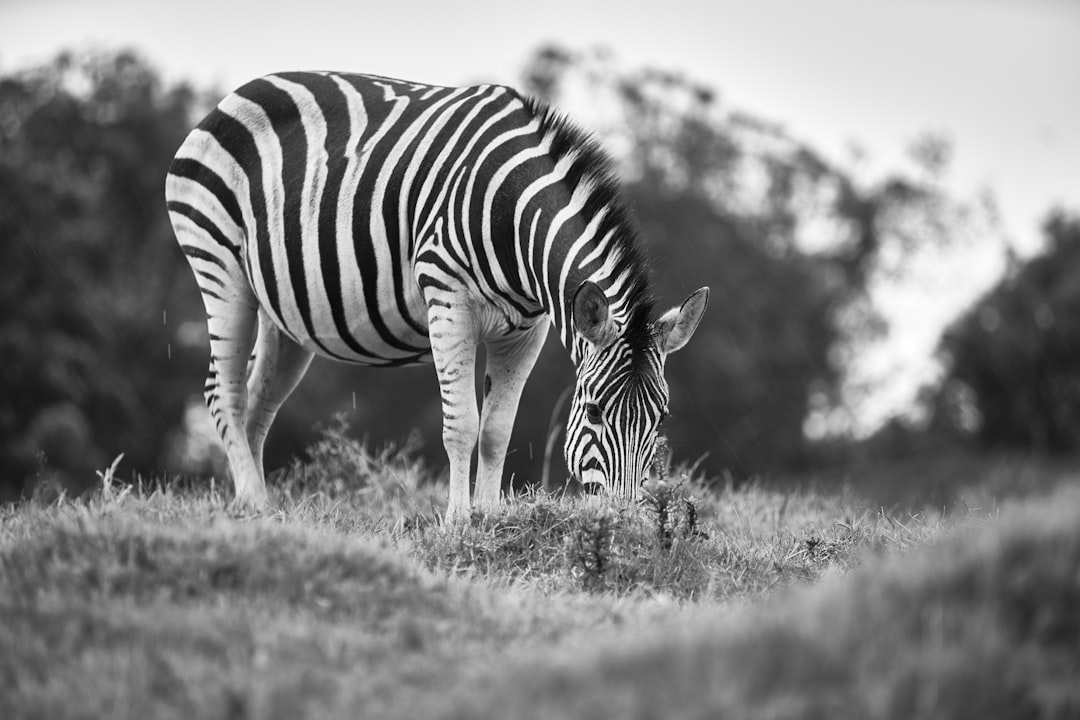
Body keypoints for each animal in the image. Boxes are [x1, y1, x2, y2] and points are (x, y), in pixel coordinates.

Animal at [164, 71, 708, 524]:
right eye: (593, 412)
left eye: (661, 417)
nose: (627, 525)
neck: (512, 214)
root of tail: (236, 95)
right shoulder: (448, 299)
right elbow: (462, 424)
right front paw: (457, 523)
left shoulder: (526, 331)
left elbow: (497, 429)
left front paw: (491, 518)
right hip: (220, 267)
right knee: (224, 392)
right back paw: (253, 504)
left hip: (287, 314)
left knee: (258, 402)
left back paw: (259, 506)